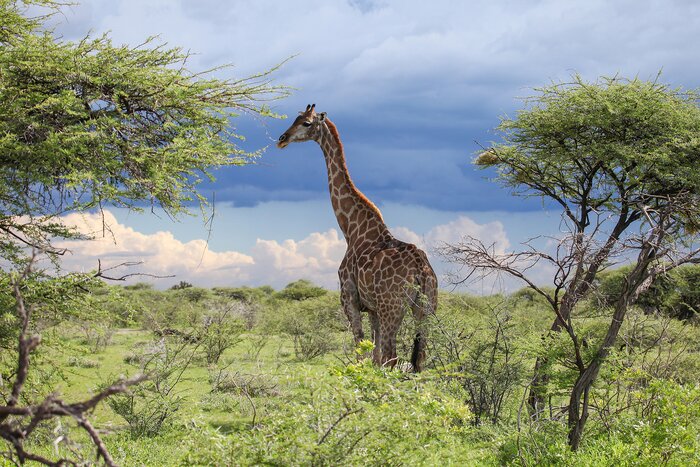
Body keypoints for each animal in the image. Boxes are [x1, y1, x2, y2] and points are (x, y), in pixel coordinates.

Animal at [277, 104, 437, 371]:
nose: (282, 139)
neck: (351, 230)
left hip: (393, 308)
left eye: (306, 123)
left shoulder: (349, 300)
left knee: (393, 357)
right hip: (427, 309)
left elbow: (361, 351)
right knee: (419, 361)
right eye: (294, 118)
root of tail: (420, 270)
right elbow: (374, 355)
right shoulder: (372, 309)